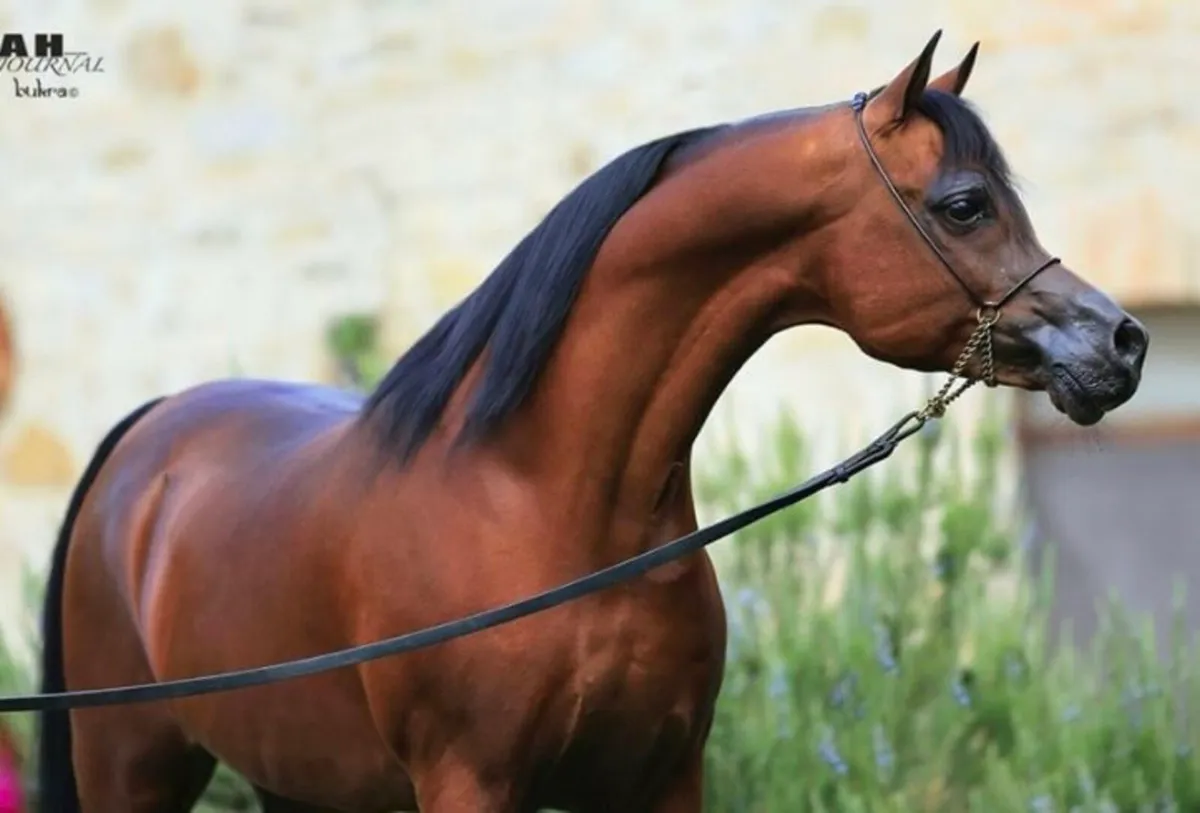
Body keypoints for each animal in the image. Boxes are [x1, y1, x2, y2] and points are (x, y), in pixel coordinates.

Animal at [36, 32, 1147, 813]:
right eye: (965, 205)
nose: (1123, 342)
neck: (549, 503)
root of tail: (150, 434)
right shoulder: (470, 785)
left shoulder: (662, 777)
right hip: (134, 765)